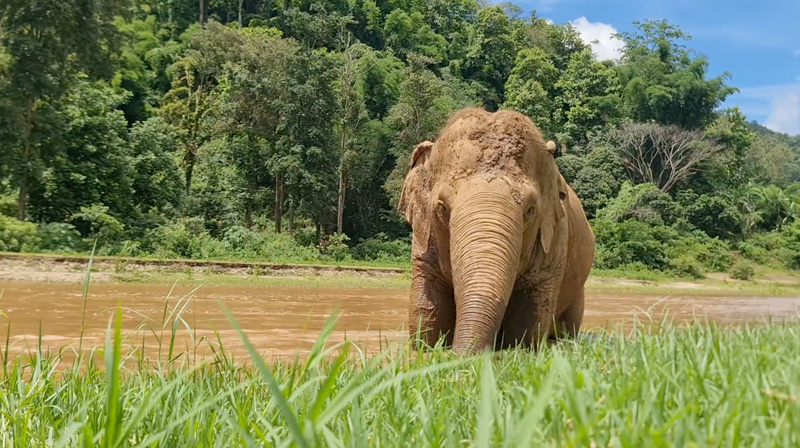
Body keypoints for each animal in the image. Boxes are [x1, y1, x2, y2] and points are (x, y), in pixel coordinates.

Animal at [398, 107, 592, 356]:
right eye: (442, 208)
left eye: (530, 210)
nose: (458, 355)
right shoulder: (424, 242)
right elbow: (429, 318)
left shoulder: (555, 241)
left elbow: (525, 327)